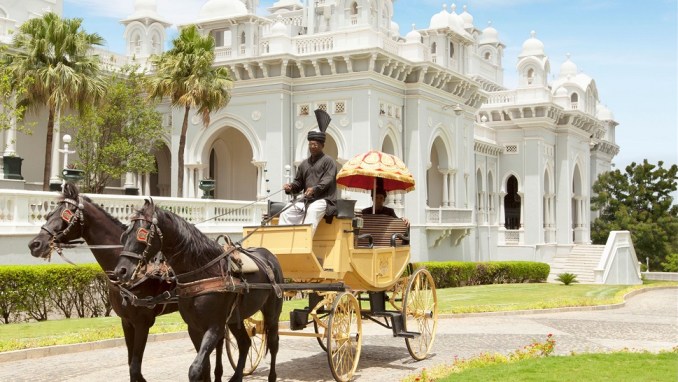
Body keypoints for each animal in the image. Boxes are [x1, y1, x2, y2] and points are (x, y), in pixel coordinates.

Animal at [25, 184, 189, 380]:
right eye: (49, 214)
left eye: (66, 215)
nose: (35, 244)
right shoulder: (127, 322)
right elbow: (131, 365)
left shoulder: (143, 322)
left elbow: (135, 367)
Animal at [113, 198, 282, 380]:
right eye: (125, 235)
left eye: (142, 234)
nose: (121, 271)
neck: (203, 272)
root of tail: (269, 256)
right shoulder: (194, 328)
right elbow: (205, 367)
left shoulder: (214, 327)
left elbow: (195, 369)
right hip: (234, 319)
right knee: (244, 342)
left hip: (272, 313)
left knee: (273, 343)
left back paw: (272, 376)